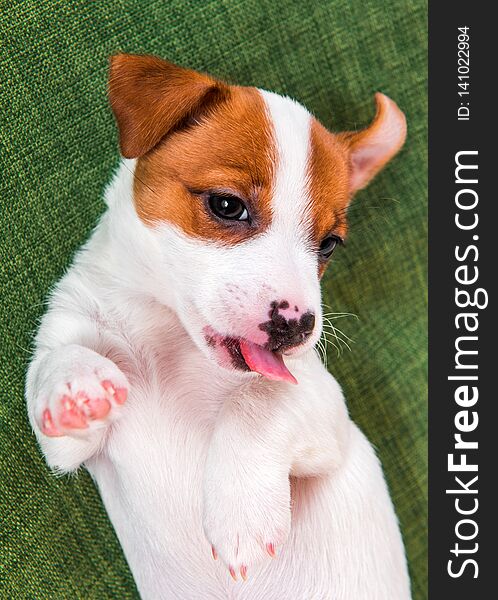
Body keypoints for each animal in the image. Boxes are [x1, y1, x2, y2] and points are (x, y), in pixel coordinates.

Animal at [25, 56, 410, 600]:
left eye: (329, 245)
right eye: (228, 205)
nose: (297, 327)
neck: (164, 330)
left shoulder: (326, 414)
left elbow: (259, 397)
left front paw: (241, 515)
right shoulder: (68, 446)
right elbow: (55, 363)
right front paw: (74, 386)